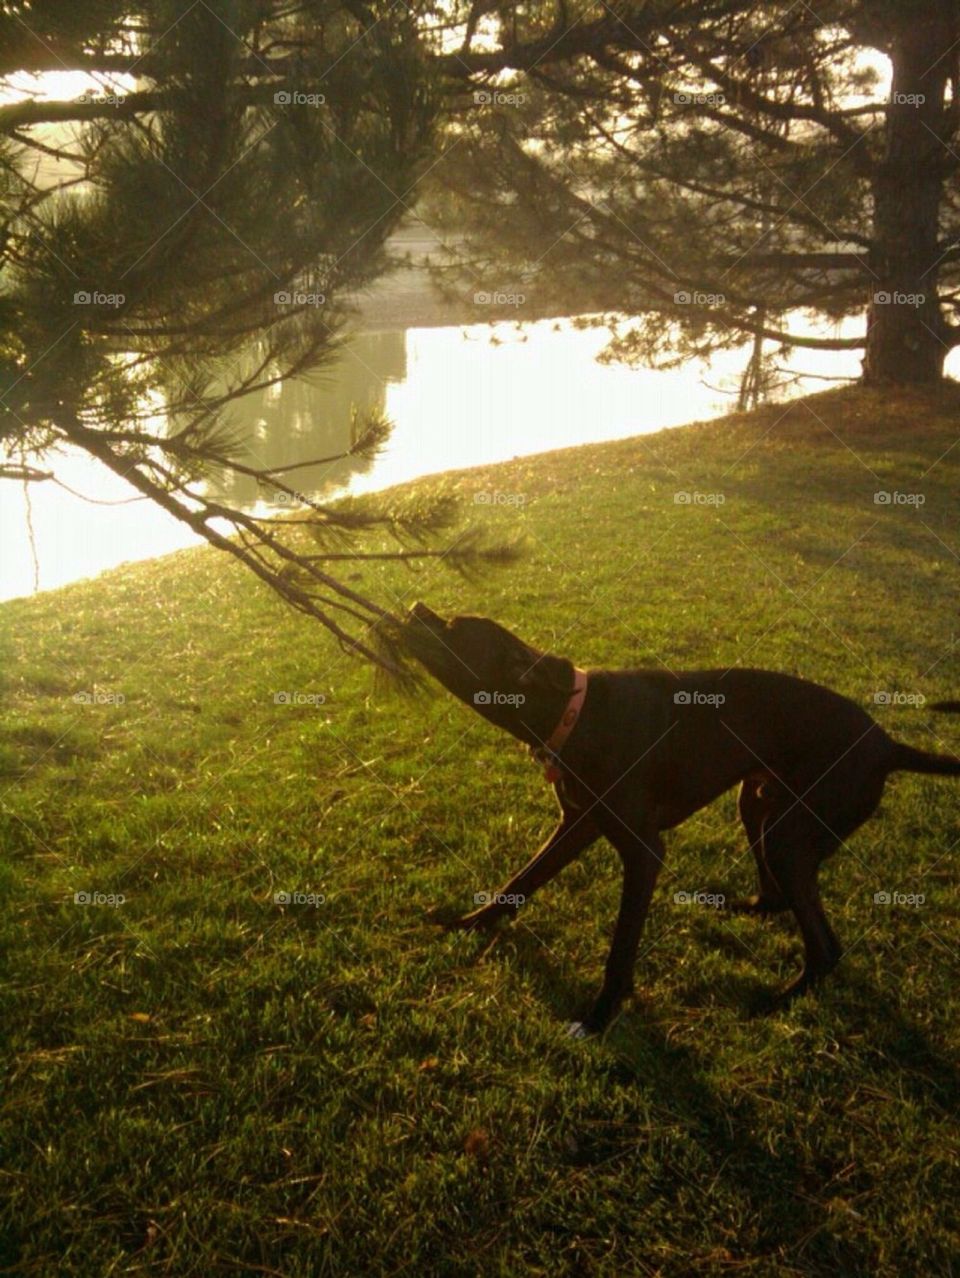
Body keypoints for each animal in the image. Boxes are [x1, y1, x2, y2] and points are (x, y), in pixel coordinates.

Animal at [401, 603, 956, 1032]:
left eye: (455, 629)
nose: (414, 608)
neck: (571, 714)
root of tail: (887, 746)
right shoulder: (578, 826)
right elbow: (520, 882)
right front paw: (468, 924)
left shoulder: (642, 852)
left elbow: (621, 947)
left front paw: (600, 1017)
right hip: (759, 807)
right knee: (778, 898)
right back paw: (742, 911)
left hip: (789, 837)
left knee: (826, 946)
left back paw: (773, 1002)